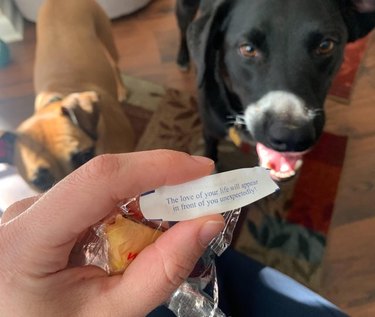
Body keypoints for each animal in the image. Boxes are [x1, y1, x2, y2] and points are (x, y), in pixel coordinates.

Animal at [177, 0, 375, 179]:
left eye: (326, 45)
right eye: (248, 49)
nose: (291, 137)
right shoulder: (209, 131)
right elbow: (209, 156)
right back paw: (182, 57)